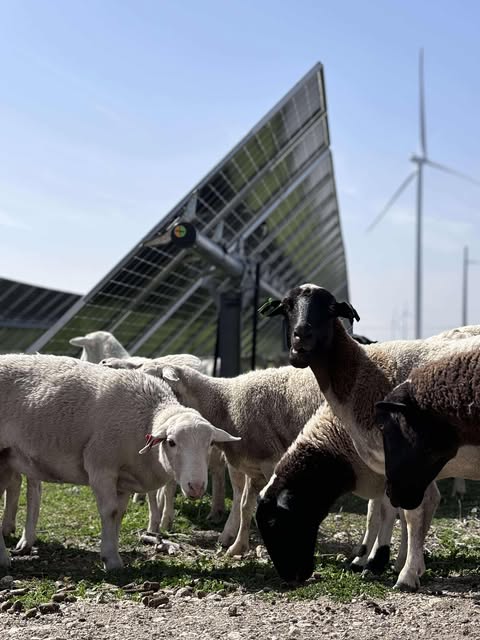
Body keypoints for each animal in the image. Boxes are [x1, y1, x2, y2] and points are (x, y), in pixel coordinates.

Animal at [0, 353, 238, 569]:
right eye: (171, 442)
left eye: (210, 443)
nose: (196, 487)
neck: (147, 417)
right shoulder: (101, 467)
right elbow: (110, 512)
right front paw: (111, 559)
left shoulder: (124, 479)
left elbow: (119, 515)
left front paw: (112, 552)